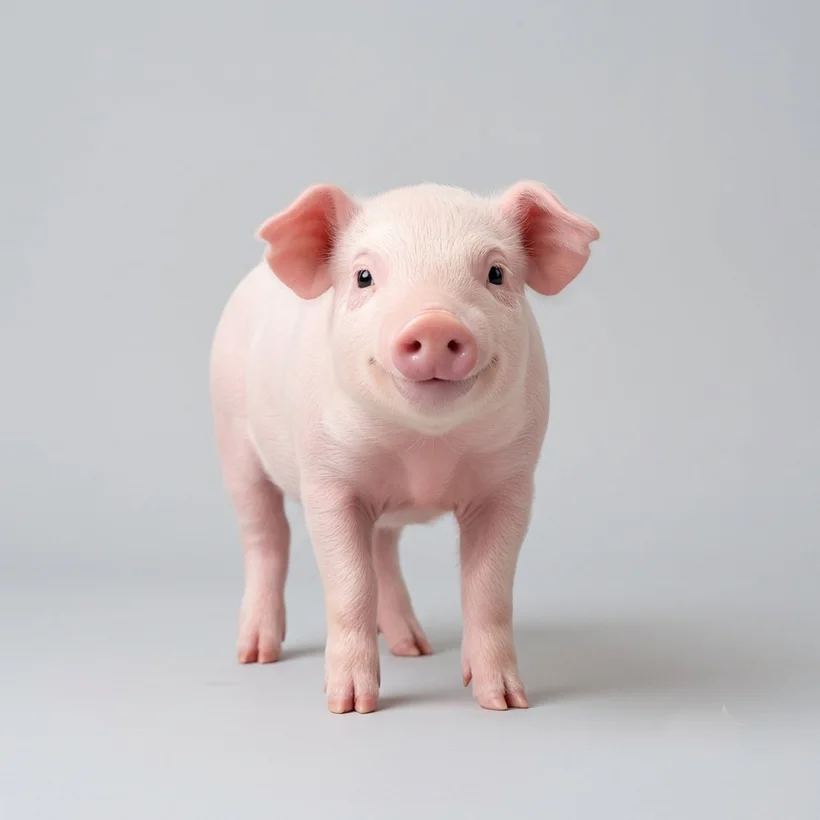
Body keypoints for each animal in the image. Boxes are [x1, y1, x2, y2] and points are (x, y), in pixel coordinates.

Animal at [209, 181, 599, 713]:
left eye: (496, 273)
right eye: (364, 276)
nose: (434, 323)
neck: (424, 452)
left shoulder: (511, 483)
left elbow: (489, 590)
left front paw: (504, 702)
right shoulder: (327, 480)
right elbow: (350, 584)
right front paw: (350, 706)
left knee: (383, 550)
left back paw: (414, 648)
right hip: (233, 439)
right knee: (266, 537)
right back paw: (256, 655)